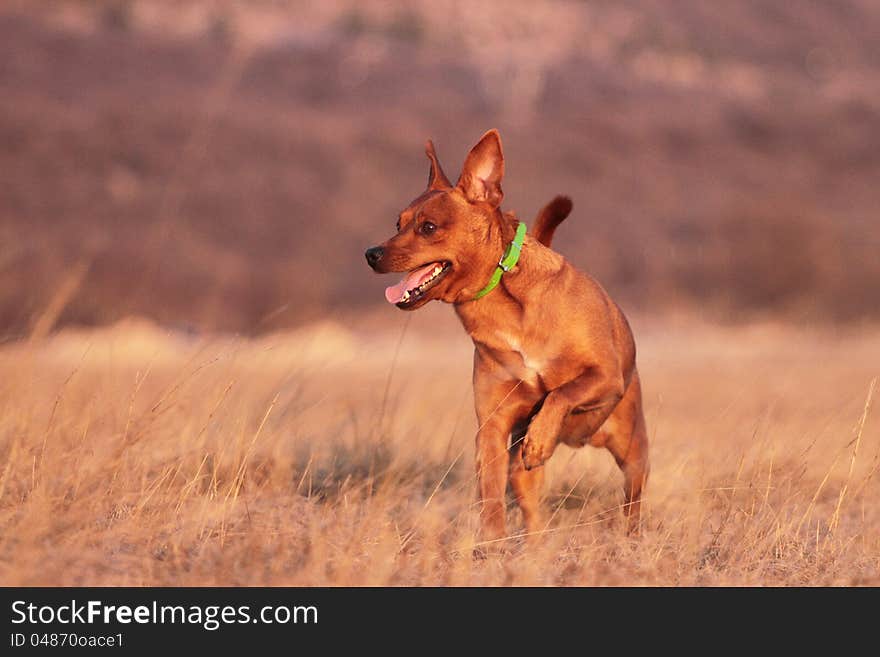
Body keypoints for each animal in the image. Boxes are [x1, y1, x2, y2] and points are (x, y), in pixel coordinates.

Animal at [362, 131, 648, 540]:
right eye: (396, 223)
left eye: (428, 227)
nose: (371, 253)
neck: (502, 304)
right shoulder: (492, 428)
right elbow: (491, 501)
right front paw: (491, 545)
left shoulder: (604, 376)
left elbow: (562, 392)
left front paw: (541, 435)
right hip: (524, 474)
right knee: (529, 504)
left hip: (633, 449)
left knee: (632, 502)